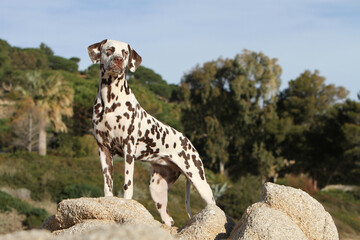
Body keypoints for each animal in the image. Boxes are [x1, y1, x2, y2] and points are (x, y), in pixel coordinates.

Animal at [88, 39, 215, 227]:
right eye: (109, 49)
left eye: (125, 53)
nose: (118, 60)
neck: (110, 101)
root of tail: (188, 142)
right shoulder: (103, 149)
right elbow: (107, 185)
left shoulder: (128, 150)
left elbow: (127, 186)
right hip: (157, 191)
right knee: (168, 219)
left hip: (199, 181)